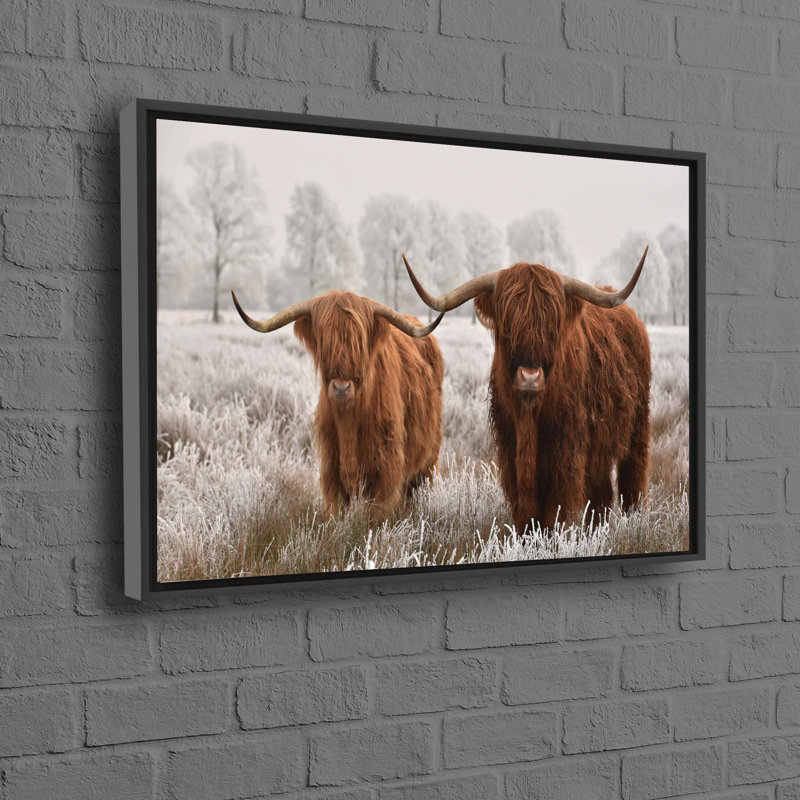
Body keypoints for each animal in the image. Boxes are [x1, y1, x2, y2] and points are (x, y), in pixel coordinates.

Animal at [231, 289, 445, 519]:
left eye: (359, 341)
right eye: (323, 339)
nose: (341, 388)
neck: (348, 420)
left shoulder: (387, 470)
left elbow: (377, 514)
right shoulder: (331, 470)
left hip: (429, 459)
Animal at [402, 249, 650, 534]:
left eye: (553, 326)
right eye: (507, 326)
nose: (530, 377)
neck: (529, 416)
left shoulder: (567, 450)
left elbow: (556, 506)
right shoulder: (510, 448)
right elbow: (525, 508)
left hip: (638, 428)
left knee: (633, 479)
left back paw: (635, 523)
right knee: (602, 493)